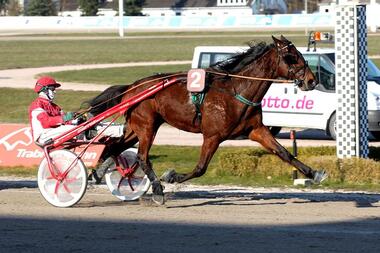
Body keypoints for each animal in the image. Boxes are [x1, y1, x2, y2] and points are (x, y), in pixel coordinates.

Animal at [87, 36, 326, 206]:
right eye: (291, 57)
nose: (311, 80)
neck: (237, 91)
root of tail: (131, 87)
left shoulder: (256, 130)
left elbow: (284, 153)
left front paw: (315, 173)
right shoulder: (212, 136)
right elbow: (200, 168)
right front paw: (171, 176)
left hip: (134, 128)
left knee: (113, 147)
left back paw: (98, 173)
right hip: (147, 127)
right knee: (142, 157)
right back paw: (157, 190)